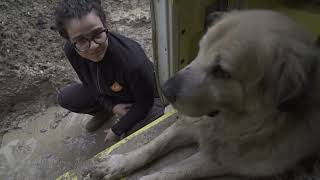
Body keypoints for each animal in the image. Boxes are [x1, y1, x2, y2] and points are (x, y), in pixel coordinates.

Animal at [83, 10, 320, 179]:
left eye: (222, 72)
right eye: (200, 49)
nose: (165, 90)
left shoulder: (220, 160)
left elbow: (169, 172)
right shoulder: (188, 124)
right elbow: (152, 147)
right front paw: (118, 164)